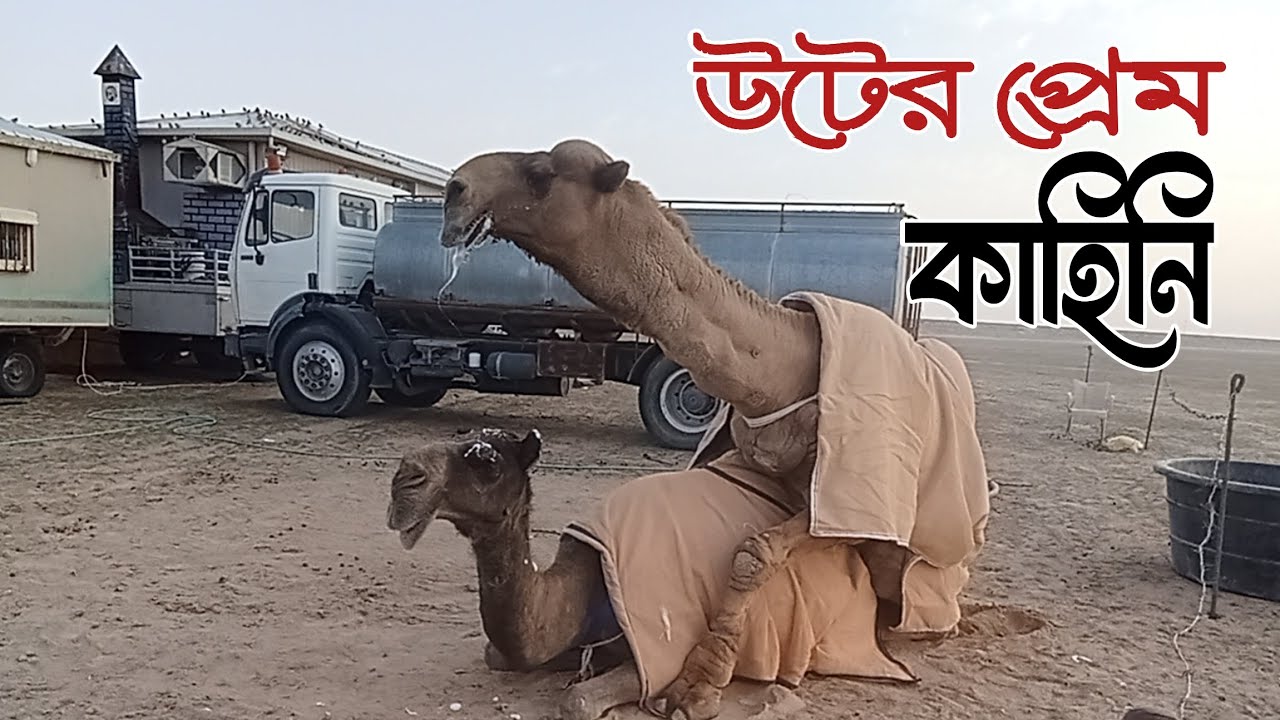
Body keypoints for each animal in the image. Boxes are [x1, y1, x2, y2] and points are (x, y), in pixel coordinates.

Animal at [424, 138, 990, 719]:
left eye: (542, 172)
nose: (456, 190)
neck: (782, 369)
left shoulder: (859, 501)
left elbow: (755, 552)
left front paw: (697, 686)